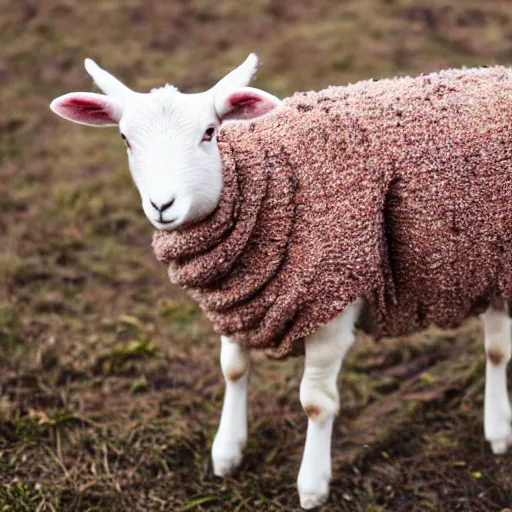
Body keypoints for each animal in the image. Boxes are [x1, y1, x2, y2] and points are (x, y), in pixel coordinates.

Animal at [50, 54, 512, 510]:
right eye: (125, 137)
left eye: (209, 132)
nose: (162, 205)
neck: (266, 175)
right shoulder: (237, 295)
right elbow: (233, 370)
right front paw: (227, 451)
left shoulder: (332, 302)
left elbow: (316, 404)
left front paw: (312, 485)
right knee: (495, 347)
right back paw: (497, 426)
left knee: (496, 350)